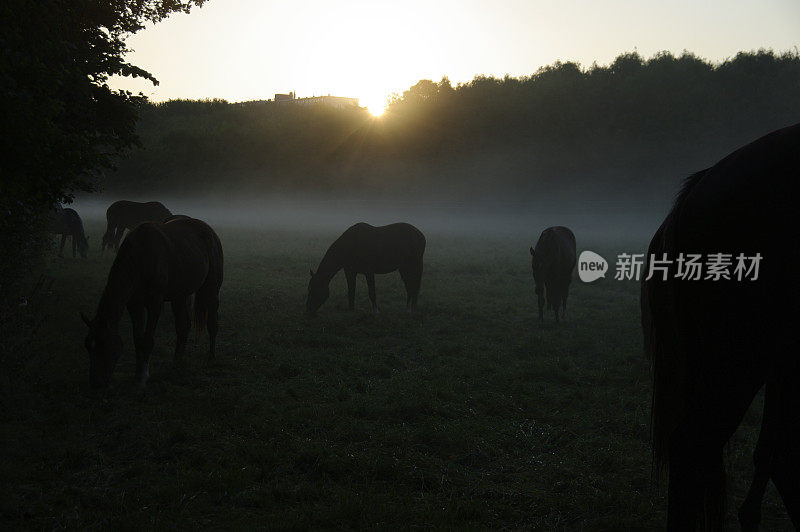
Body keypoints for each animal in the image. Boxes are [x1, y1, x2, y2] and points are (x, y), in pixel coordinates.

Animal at [82, 215, 222, 386]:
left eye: (104, 345)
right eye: (88, 346)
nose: (96, 383)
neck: (141, 257)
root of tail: (209, 230)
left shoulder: (155, 303)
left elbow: (148, 339)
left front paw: (143, 376)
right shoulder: (134, 304)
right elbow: (138, 339)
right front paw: (138, 373)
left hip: (211, 288)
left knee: (212, 322)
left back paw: (211, 356)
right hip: (180, 295)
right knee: (183, 326)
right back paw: (176, 362)